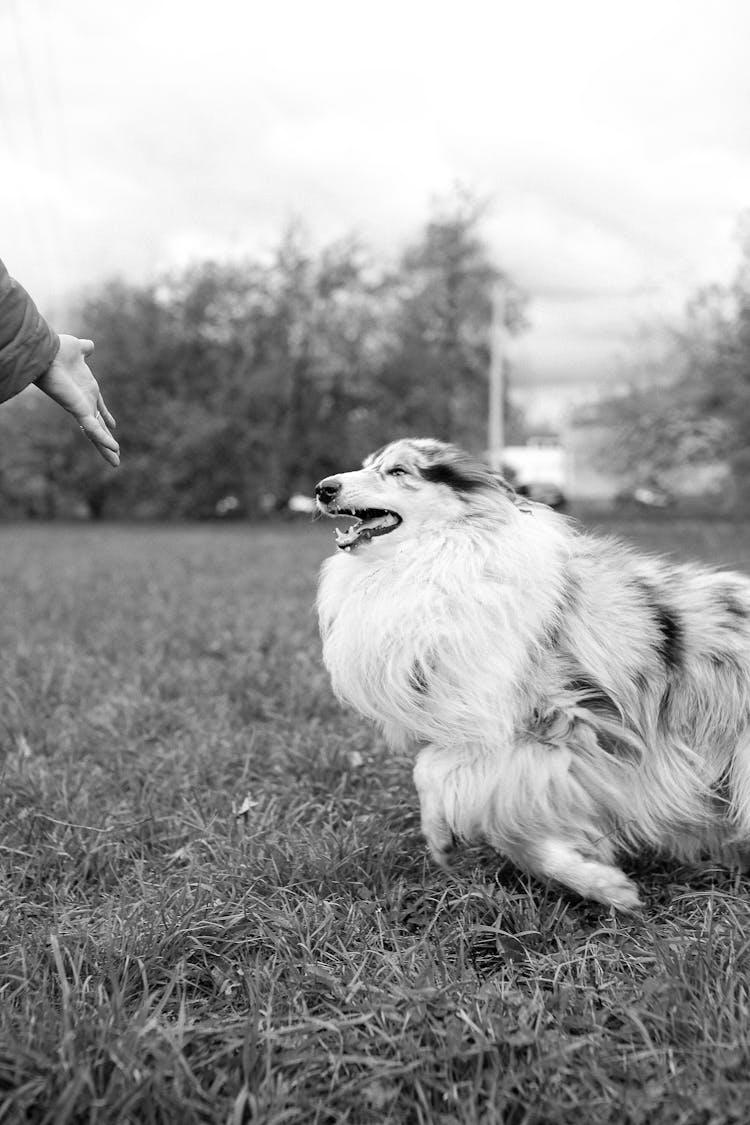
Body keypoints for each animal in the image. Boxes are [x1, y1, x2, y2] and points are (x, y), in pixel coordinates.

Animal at [314, 434, 750, 909]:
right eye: (365, 464)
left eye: (398, 471)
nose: (323, 489)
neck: (442, 556)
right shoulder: (508, 737)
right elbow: (465, 798)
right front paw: (598, 881)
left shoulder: (571, 730)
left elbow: (438, 773)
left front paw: (598, 883)